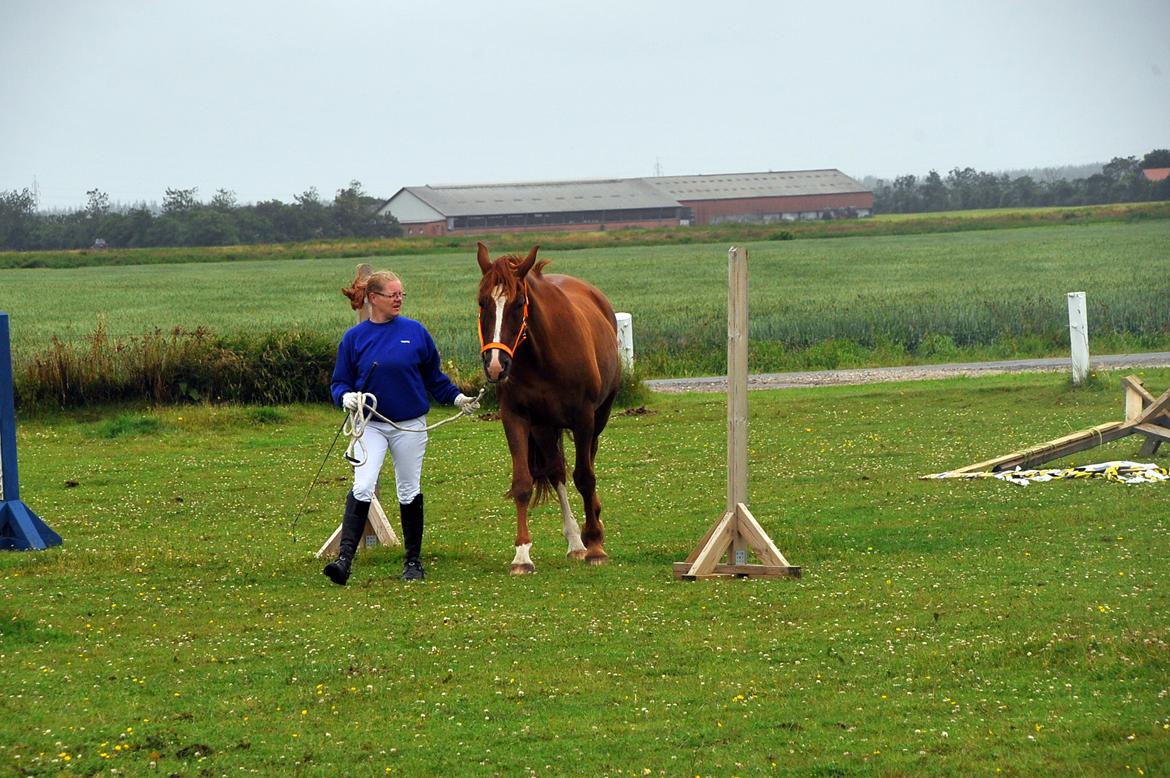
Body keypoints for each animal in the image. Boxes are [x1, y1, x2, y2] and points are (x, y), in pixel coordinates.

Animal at [475, 239, 622, 573]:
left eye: (518, 304)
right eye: (482, 303)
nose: (495, 366)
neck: (542, 355)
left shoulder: (583, 419)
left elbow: (585, 477)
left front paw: (596, 546)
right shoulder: (515, 417)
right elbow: (523, 482)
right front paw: (522, 555)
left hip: (598, 417)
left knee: (588, 462)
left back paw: (592, 530)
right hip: (544, 427)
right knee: (556, 472)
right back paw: (575, 542)